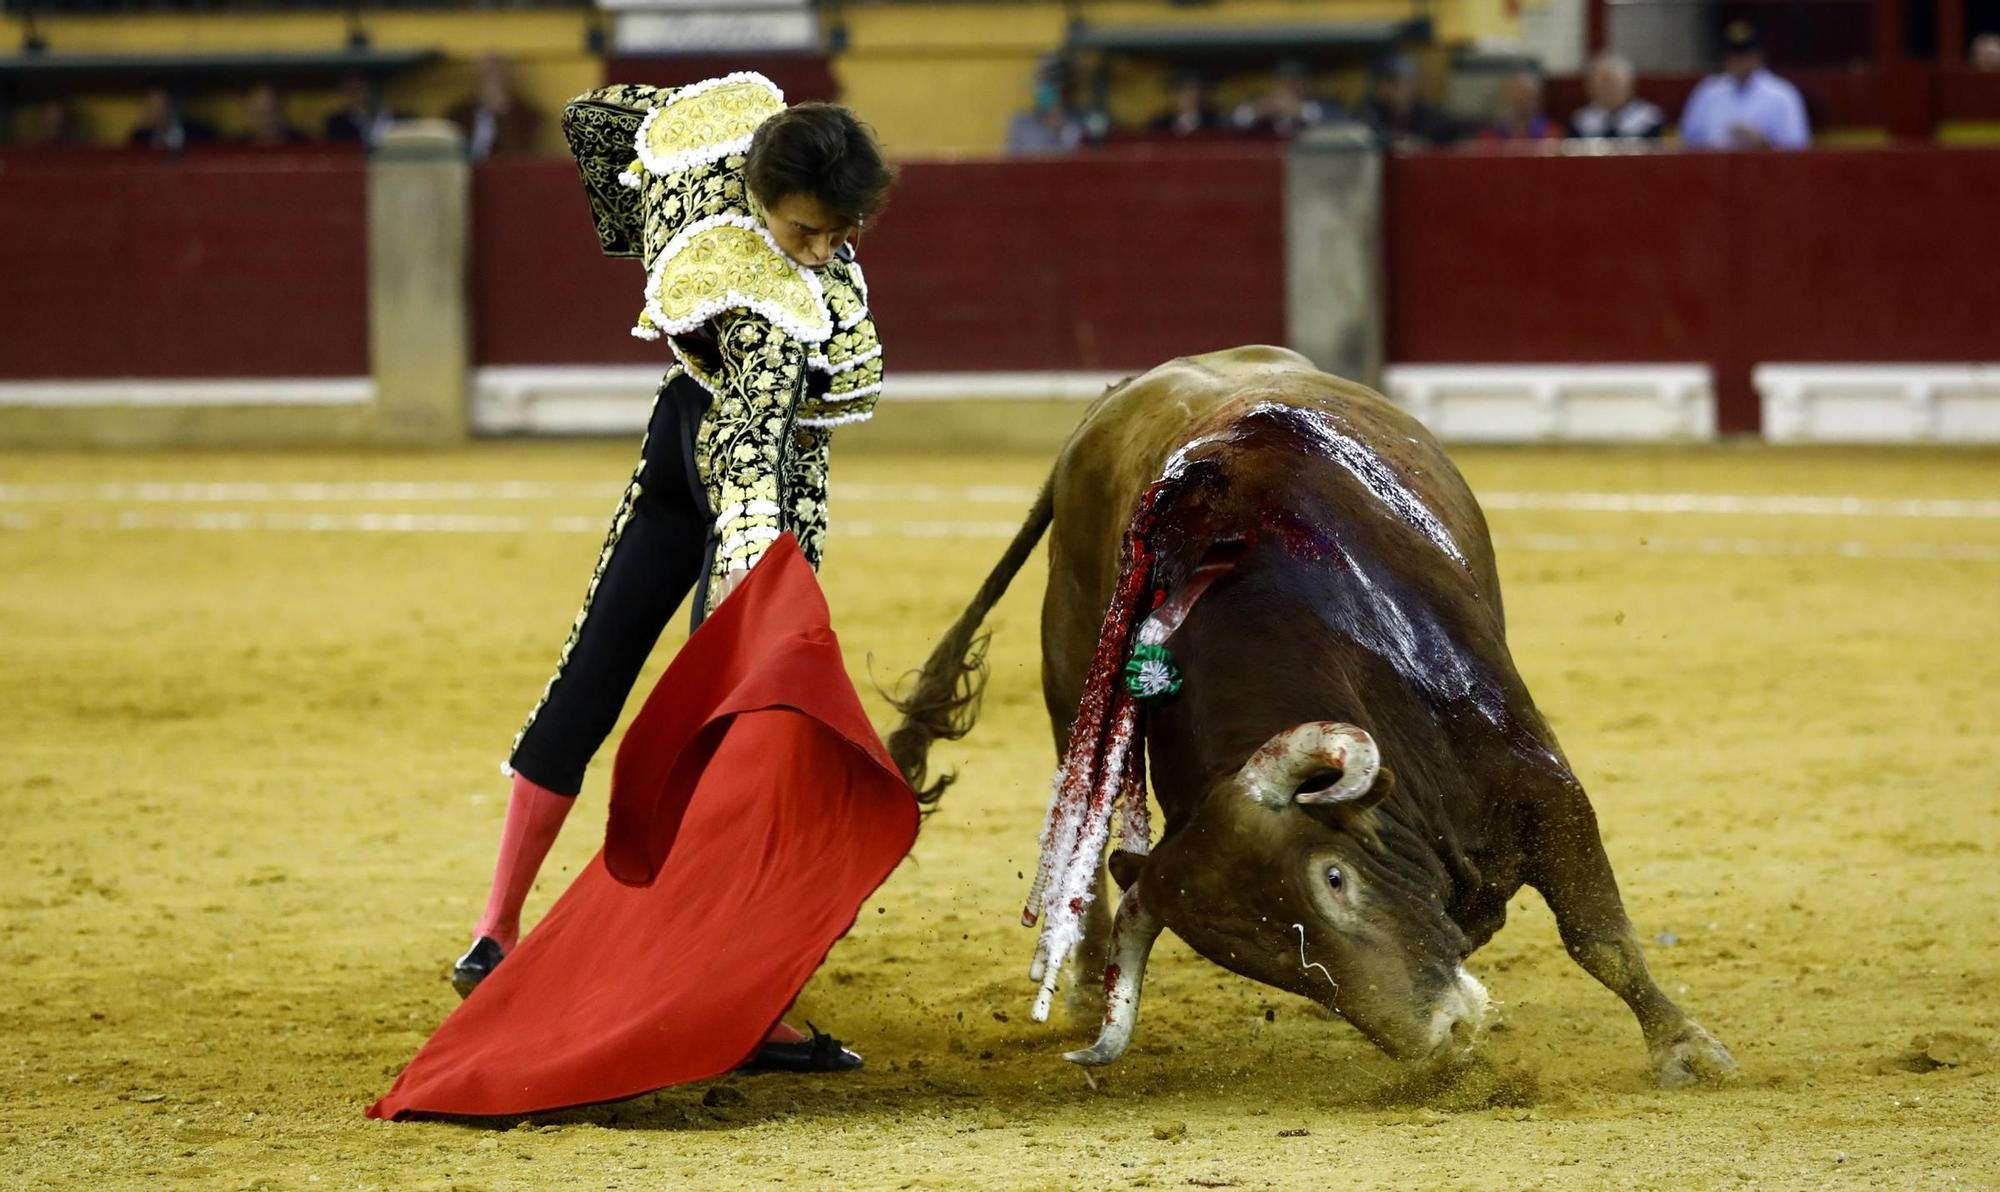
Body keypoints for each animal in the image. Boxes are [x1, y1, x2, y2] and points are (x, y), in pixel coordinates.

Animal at [892, 346, 1736, 1088]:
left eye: (1335, 878)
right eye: (1259, 962)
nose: (1443, 1038)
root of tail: (1119, 395)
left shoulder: (1540, 783)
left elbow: (1600, 937)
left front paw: (1685, 1050)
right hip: (1074, 688)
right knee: (1081, 835)